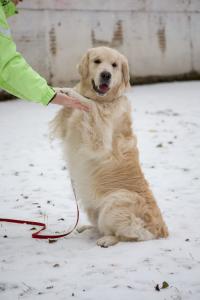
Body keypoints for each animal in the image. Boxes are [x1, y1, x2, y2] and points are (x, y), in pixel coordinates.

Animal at [50, 47, 168, 247]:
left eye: (114, 65)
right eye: (97, 61)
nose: (106, 75)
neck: (105, 100)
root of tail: (161, 232)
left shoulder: (99, 139)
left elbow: (91, 105)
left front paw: (74, 94)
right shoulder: (67, 126)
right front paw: (61, 91)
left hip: (115, 202)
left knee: (128, 234)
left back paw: (107, 239)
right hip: (92, 207)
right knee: (99, 226)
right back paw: (86, 228)